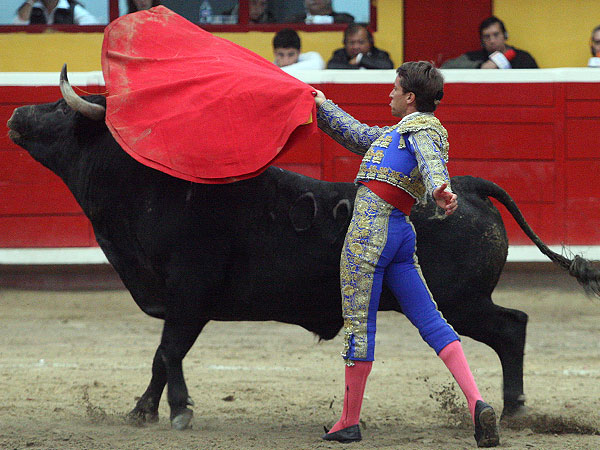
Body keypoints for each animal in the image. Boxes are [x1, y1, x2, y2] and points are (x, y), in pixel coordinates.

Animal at [5, 82, 600, 430]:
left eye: (58, 108)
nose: (15, 113)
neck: (152, 186)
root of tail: (470, 185)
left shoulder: (189, 294)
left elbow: (169, 350)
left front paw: (175, 410)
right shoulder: (181, 301)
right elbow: (162, 354)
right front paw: (145, 409)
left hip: (461, 300)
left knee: (511, 326)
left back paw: (514, 408)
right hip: (456, 300)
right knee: (507, 328)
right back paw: (511, 409)